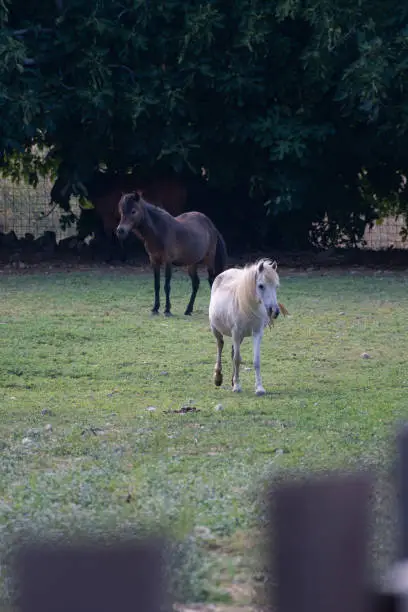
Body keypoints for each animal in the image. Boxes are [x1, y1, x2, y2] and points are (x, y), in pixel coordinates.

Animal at [210, 258, 280, 396]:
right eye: (261, 285)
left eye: (276, 286)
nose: (274, 311)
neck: (248, 306)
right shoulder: (236, 333)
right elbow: (237, 359)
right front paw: (237, 387)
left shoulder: (257, 333)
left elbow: (256, 360)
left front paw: (259, 388)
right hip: (216, 330)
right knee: (220, 346)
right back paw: (218, 378)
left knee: (232, 352)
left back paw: (232, 380)